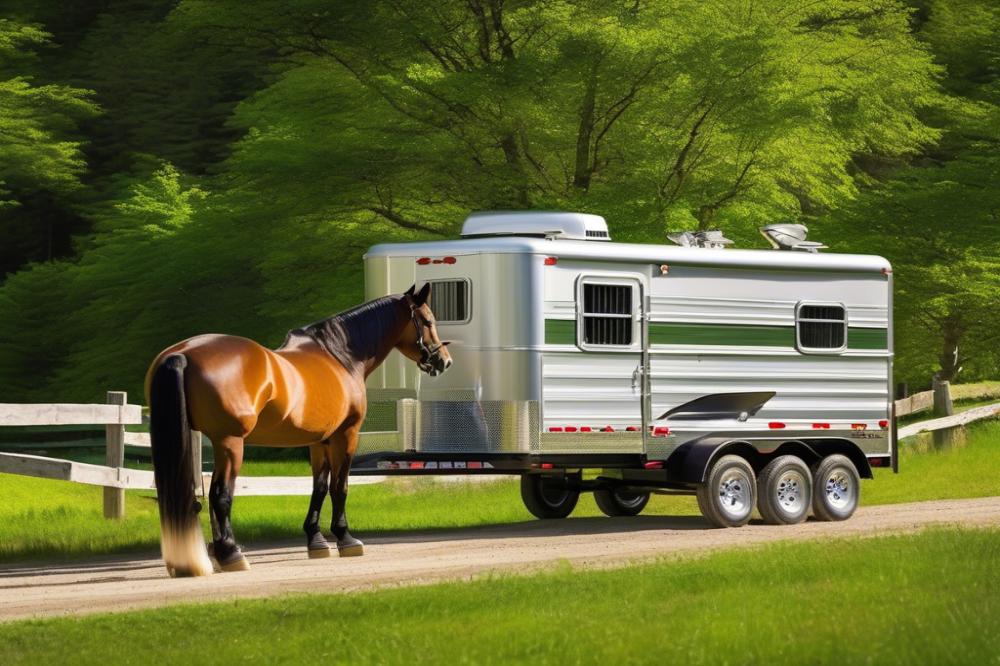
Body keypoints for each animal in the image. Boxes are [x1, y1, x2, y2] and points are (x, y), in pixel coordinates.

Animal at [144, 283, 451, 577]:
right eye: (427, 320)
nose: (444, 361)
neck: (339, 357)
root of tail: (181, 354)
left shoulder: (319, 441)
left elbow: (319, 487)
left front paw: (316, 541)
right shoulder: (346, 436)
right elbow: (340, 487)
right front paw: (346, 538)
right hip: (229, 443)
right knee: (220, 495)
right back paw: (231, 554)